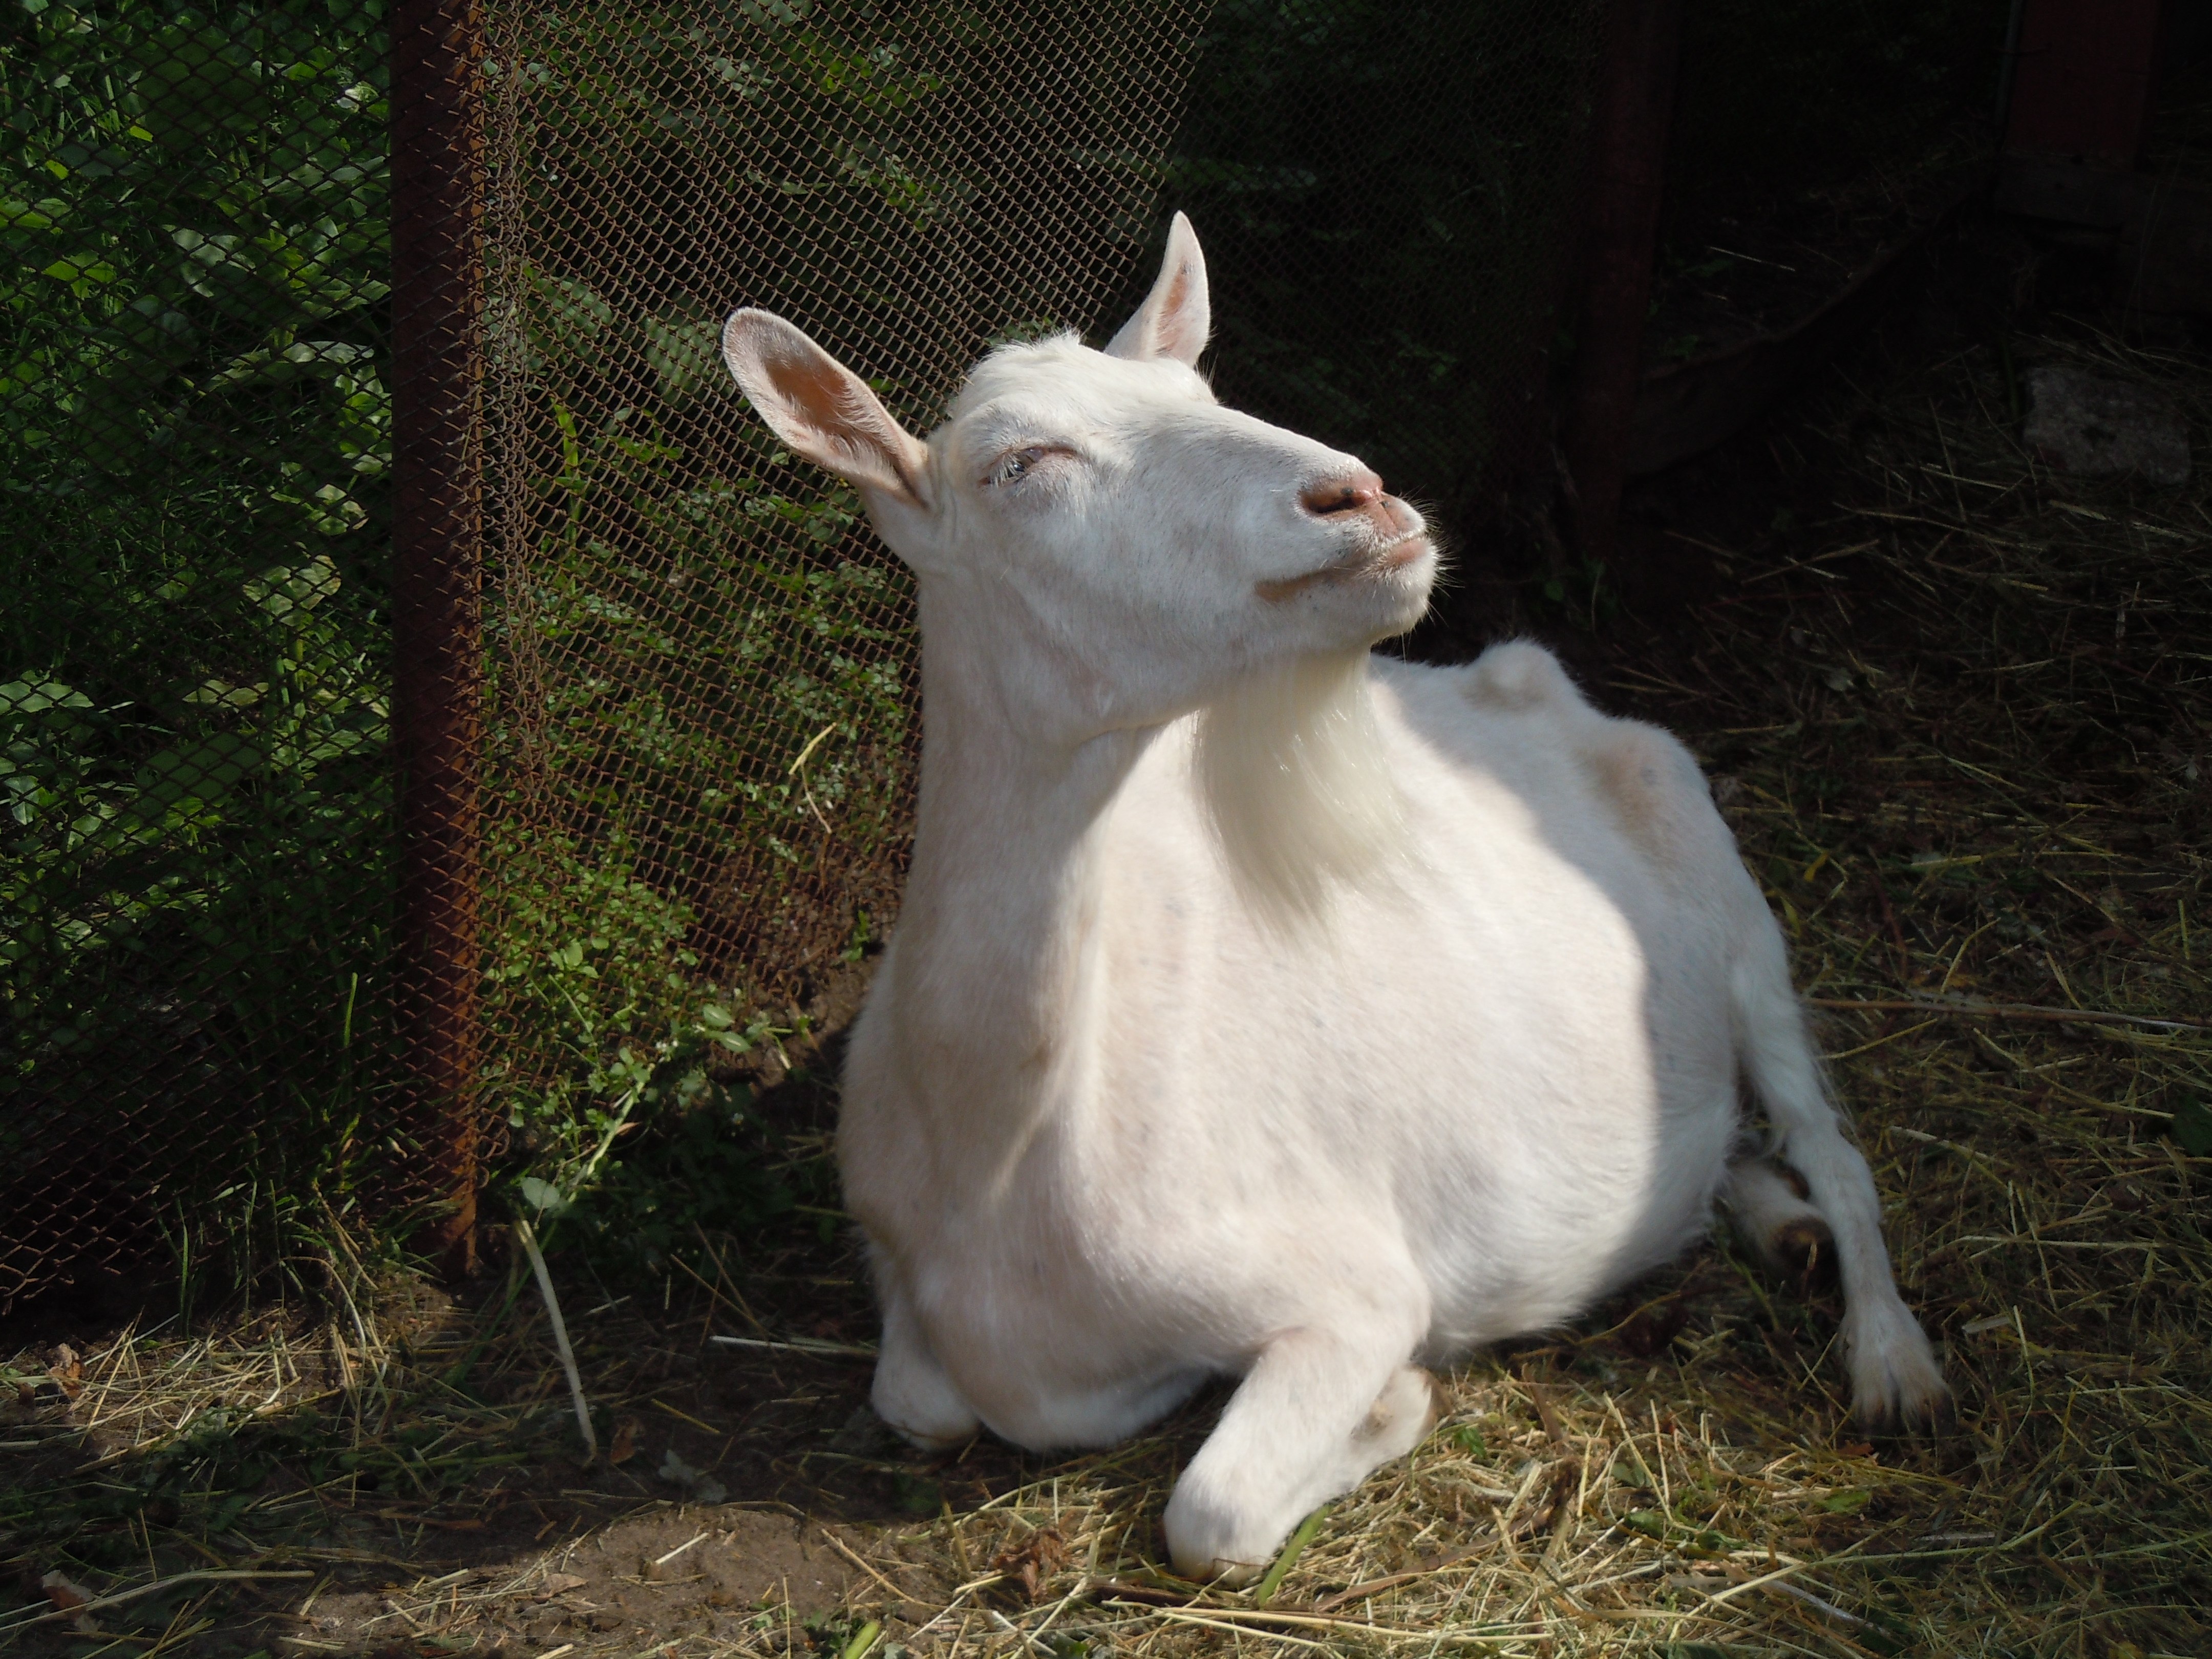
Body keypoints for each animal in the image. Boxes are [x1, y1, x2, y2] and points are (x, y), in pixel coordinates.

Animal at [716, 215, 1946, 1575]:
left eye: (1202, 394)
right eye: (1020, 464)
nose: (1359, 499)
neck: (1000, 1149)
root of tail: (1526, 677)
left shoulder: (1348, 1284)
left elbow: (1212, 1510)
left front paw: (1396, 1403)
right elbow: (920, 1404)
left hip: (1735, 908)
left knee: (1834, 1139)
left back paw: (1890, 1359)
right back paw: (1770, 1218)